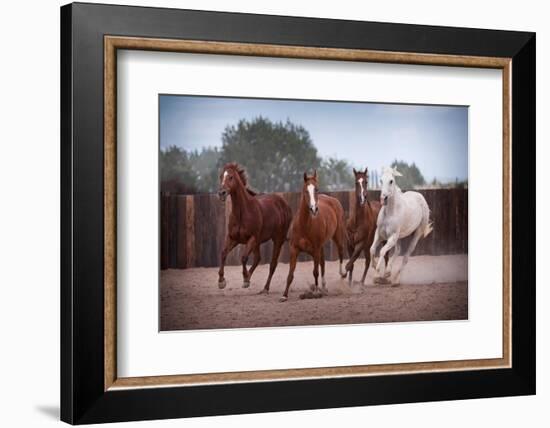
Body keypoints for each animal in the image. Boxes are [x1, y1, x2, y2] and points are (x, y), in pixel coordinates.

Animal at [217, 162, 294, 292]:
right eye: (221, 176)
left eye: (231, 177)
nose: (221, 193)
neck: (242, 212)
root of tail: (285, 205)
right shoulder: (233, 238)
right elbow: (223, 253)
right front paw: (221, 281)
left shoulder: (252, 238)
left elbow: (243, 258)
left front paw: (245, 279)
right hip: (258, 242)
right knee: (258, 258)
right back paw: (249, 278)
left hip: (277, 239)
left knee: (273, 264)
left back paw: (265, 288)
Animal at [282, 169, 348, 302]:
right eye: (306, 190)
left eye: (316, 189)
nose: (314, 209)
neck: (304, 225)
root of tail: (333, 201)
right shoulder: (294, 249)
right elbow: (290, 274)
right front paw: (284, 295)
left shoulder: (316, 249)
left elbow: (315, 271)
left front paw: (316, 292)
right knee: (322, 263)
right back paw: (324, 286)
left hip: (337, 236)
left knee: (340, 252)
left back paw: (341, 274)